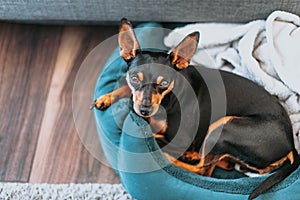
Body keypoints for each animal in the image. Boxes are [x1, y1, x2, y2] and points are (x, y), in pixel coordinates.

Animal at [92, 18, 300, 198]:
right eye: (134, 78)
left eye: (164, 83)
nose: (144, 110)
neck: (168, 99)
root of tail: (290, 143)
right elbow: (127, 89)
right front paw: (106, 98)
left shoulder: (178, 138)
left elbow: (158, 134)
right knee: (220, 164)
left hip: (225, 128)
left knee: (201, 169)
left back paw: (173, 156)